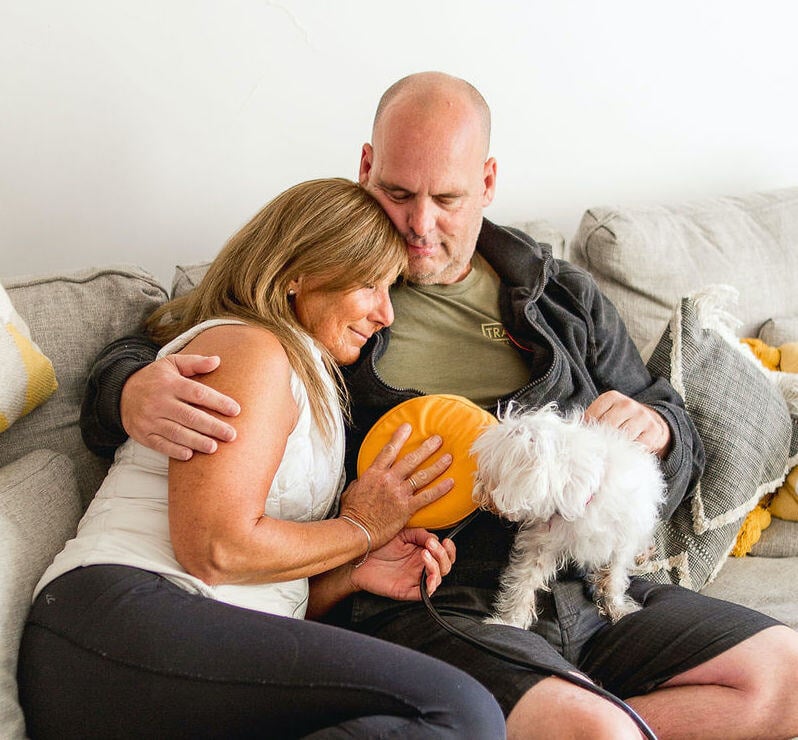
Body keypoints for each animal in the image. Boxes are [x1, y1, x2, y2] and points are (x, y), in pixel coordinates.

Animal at [472, 402, 664, 628]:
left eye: (487, 472)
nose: (478, 491)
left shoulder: (621, 542)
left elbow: (614, 578)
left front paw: (618, 608)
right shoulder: (541, 543)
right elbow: (524, 582)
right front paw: (510, 622)